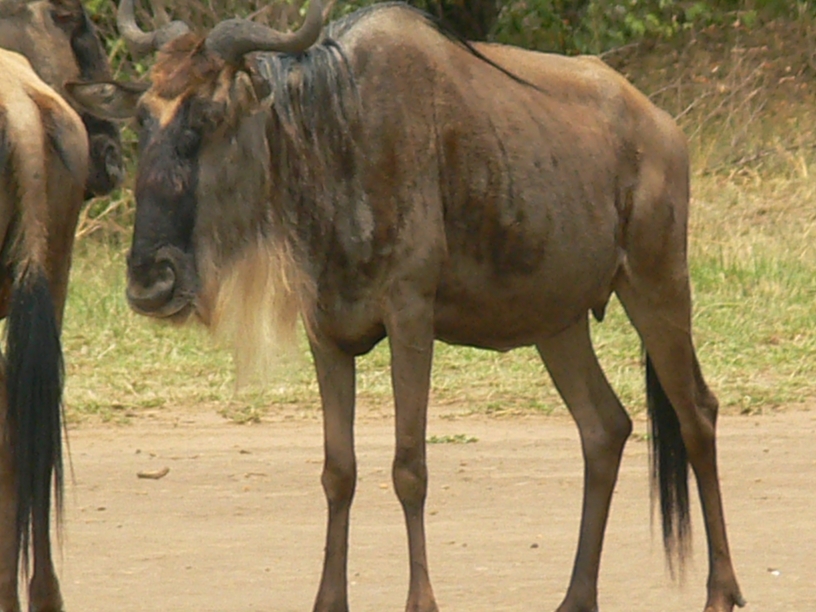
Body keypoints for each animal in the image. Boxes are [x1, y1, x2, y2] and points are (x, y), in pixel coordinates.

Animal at [70, 1, 745, 611]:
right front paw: (328, 600)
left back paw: (721, 591)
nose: (150, 281)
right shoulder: (327, 333)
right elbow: (338, 471)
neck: (332, 140)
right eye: (142, 118)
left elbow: (409, 467)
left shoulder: (410, 318)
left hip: (657, 284)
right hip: (559, 324)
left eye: (209, 116)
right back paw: (576, 598)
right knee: (604, 428)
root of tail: (663, 128)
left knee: (697, 414)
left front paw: (421, 600)